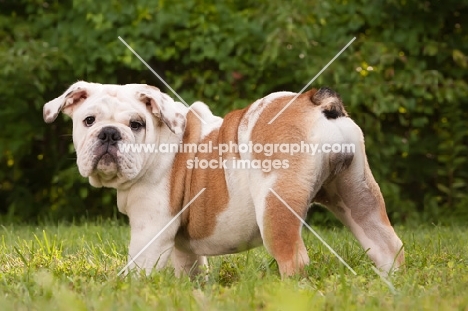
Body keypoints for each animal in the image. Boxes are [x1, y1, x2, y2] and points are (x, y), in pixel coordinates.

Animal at [42, 81, 404, 278]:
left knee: (293, 258)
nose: (109, 133)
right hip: (357, 195)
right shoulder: (182, 246)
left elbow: (138, 267)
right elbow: (190, 267)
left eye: (136, 124)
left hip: (276, 207)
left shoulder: (149, 229)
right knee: (388, 245)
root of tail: (315, 101)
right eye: (88, 121)